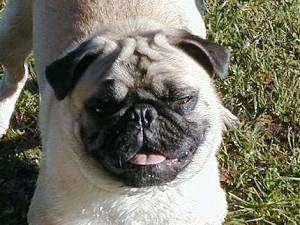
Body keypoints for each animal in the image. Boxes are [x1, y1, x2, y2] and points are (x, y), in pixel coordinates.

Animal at [0, 0, 239, 225]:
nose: (142, 114)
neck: (138, 195)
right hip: (11, 35)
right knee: (17, 74)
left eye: (182, 99)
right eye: (101, 107)